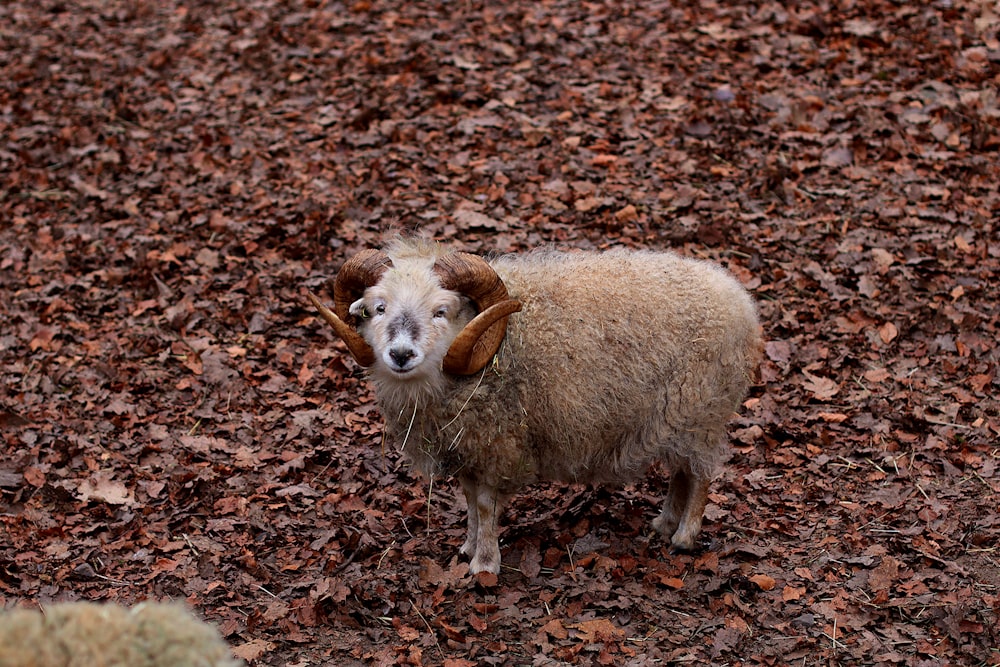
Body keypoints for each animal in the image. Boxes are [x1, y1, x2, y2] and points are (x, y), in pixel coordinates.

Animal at [308, 237, 760, 576]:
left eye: (441, 311)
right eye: (378, 308)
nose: (400, 354)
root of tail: (740, 301)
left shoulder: (497, 444)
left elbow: (486, 505)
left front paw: (484, 564)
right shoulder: (468, 446)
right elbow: (470, 501)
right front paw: (467, 546)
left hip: (701, 410)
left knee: (699, 475)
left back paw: (685, 536)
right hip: (677, 417)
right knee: (680, 472)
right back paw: (664, 523)